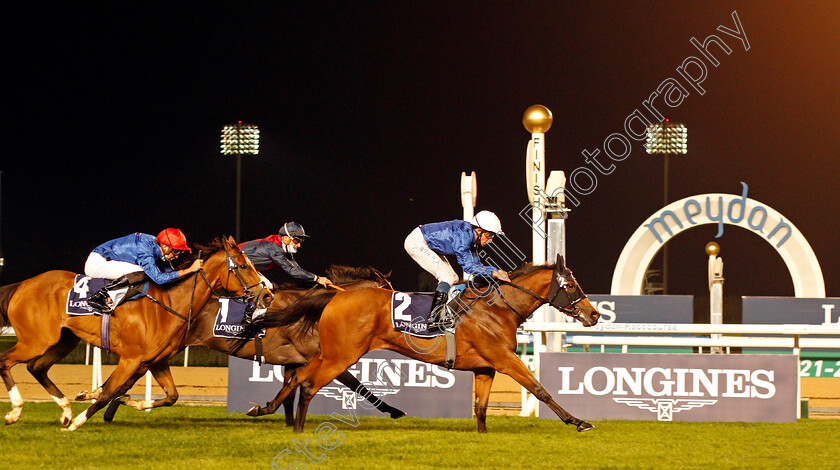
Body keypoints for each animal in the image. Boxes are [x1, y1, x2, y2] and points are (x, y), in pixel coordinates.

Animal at [0, 237, 270, 432]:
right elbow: (108, 392)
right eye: (244, 266)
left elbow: (172, 396)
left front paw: (134, 402)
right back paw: (16, 411)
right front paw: (79, 422)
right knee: (6, 360)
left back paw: (65, 411)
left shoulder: (156, 361)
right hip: (36, 340)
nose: (267, 295)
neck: (169, 303)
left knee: (37, 367)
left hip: (63, 340)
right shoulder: (130, 359)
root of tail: (23, 284)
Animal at [93, 266, 406, 424]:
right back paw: (109, 406)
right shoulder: (325, 357)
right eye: (389, 291)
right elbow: (356, 384)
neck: (318, 310)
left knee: (133, 373)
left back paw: (111, 406)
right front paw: (394, 410)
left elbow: (289, 388)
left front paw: (282, 417)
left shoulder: (295, 360)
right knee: (132, 372)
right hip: (167, 345)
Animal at [253, 255, 600, 436]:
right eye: (571, 285)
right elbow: (540, 389)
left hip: (328, 352)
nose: (594, 314)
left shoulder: (485, 367)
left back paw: (264, 408)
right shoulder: (504, 359)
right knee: (309, 385)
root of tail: (337, 296)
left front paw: (483, 437)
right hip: (342, 356)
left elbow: (481, 407)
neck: (498, 309)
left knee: (297, 377)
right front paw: (578, 422)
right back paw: (299, 430)